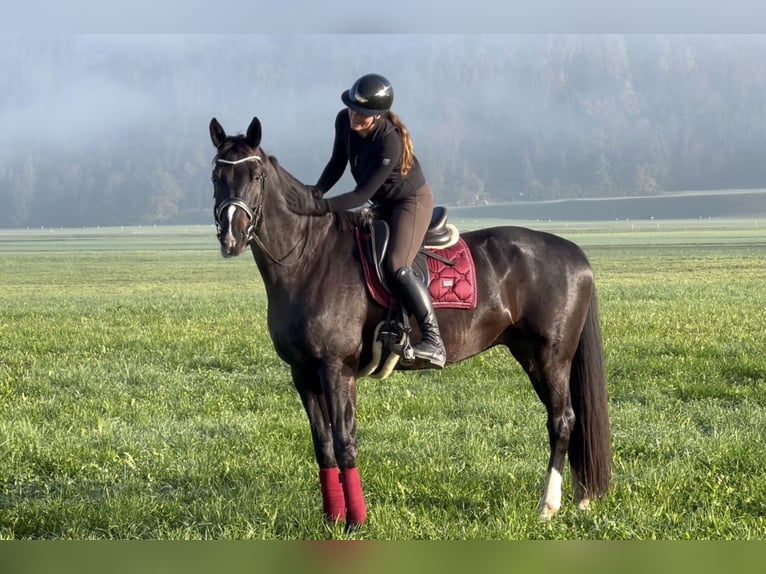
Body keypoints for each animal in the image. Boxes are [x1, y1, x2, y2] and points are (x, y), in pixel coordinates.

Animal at [208, 117, 612, 536]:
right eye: (216, 175)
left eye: (256, 175)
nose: (231, 235)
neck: (310, 257)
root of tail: (574, 251)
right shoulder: (303, 373)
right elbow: (323, 445)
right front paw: (332, 518)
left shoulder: (336, 370)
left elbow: (345, 441)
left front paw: (355, 522)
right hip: (530, 355)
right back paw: (578, 499)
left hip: (551, 358)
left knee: (562, 421)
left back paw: (548, 506)